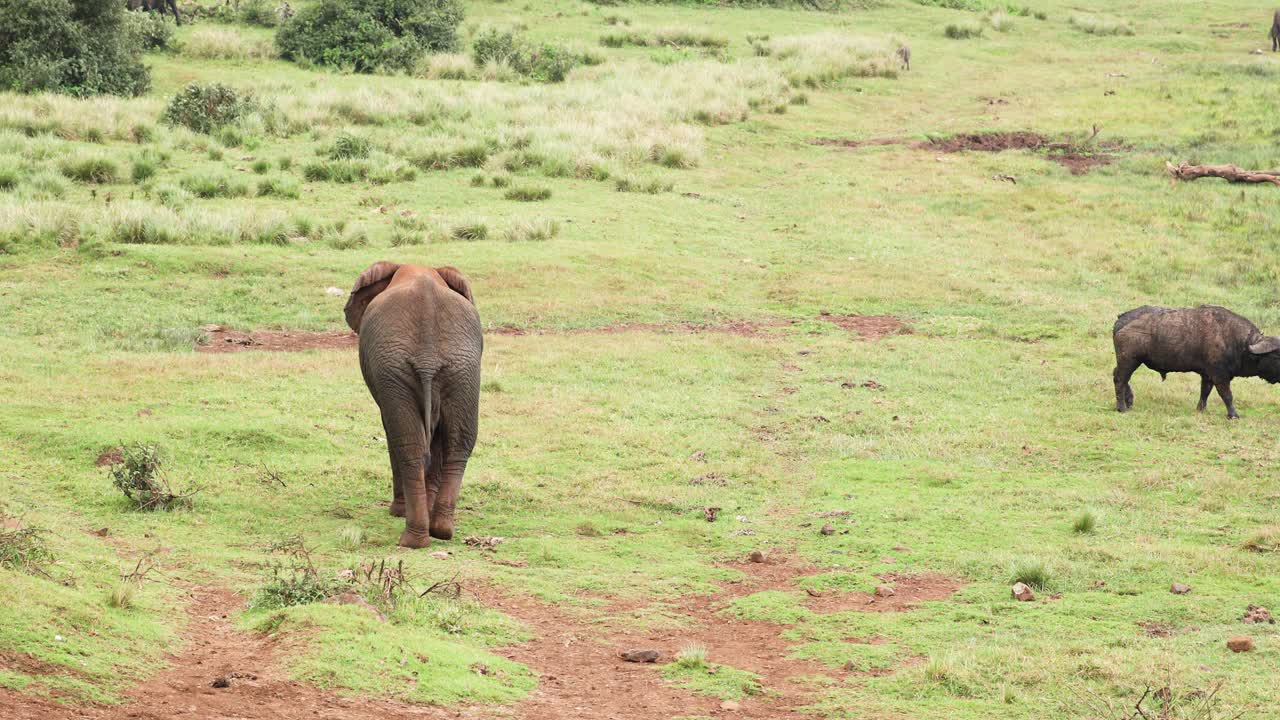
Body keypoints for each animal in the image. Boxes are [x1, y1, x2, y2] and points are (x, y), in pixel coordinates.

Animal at [345, 260, 483, 545]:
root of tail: (428, 357)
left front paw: (397, 511)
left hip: (397, 369)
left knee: (406, 443)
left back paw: (412, 538)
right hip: (462, 368)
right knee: (458, 442)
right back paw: (440, 530)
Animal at [1111, 303, 1280, 417]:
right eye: (1276, 355)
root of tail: (1122, 319)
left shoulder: (1208, 375)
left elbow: (1205, 392)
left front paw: (1201, 409)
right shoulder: (1220, 376)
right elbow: (1227, 395)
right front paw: (1233, 415)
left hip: (1128, 361)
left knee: (1120, 377)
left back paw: (1129, 401)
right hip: (1129, 360)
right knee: (1120, 380)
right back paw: (1122, 407)